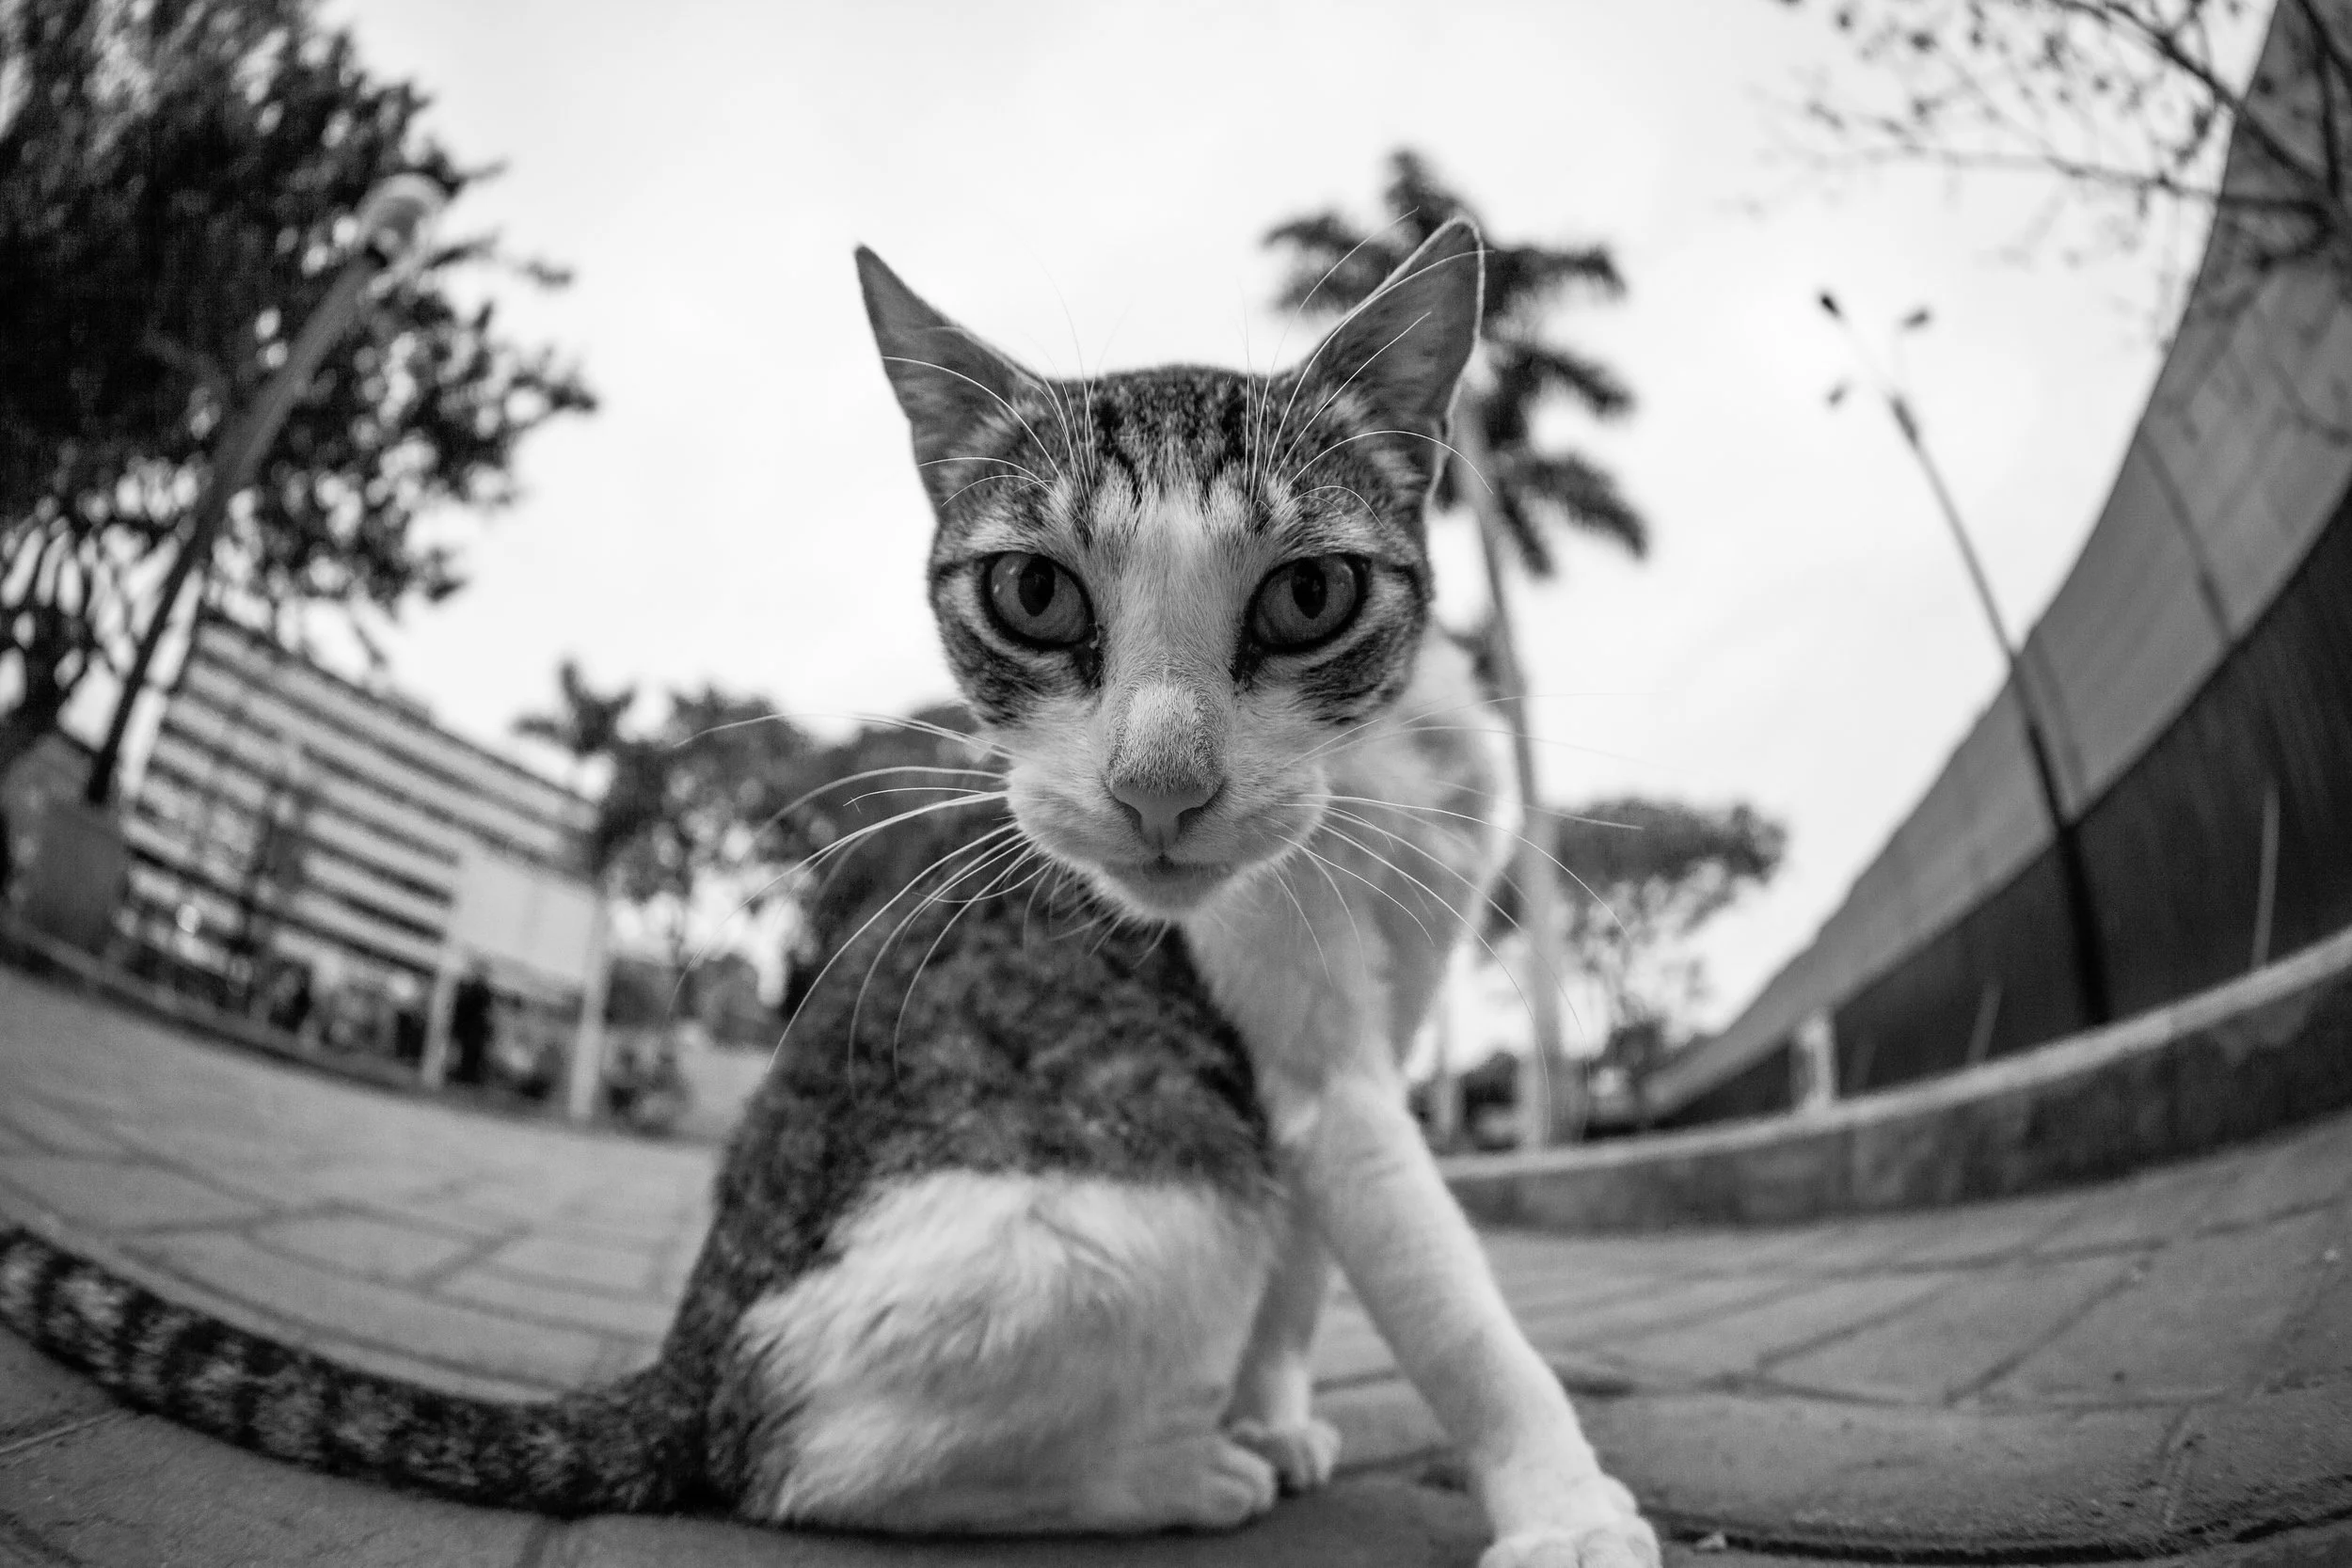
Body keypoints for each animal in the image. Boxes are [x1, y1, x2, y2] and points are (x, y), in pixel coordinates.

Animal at [0, 217, 1656, 1568]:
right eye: (1034, 592)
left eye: (1310, 593)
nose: (1160, 787)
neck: (1376, 788)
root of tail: (690, 1352)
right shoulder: (1301, 1054)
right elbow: (1440, 1283)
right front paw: (1561, 1501)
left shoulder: (1391, 1004)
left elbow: (1321, 1263)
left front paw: (1277, 1405)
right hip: (1133, 1224)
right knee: (792, 1459)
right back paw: (1169, 1474)